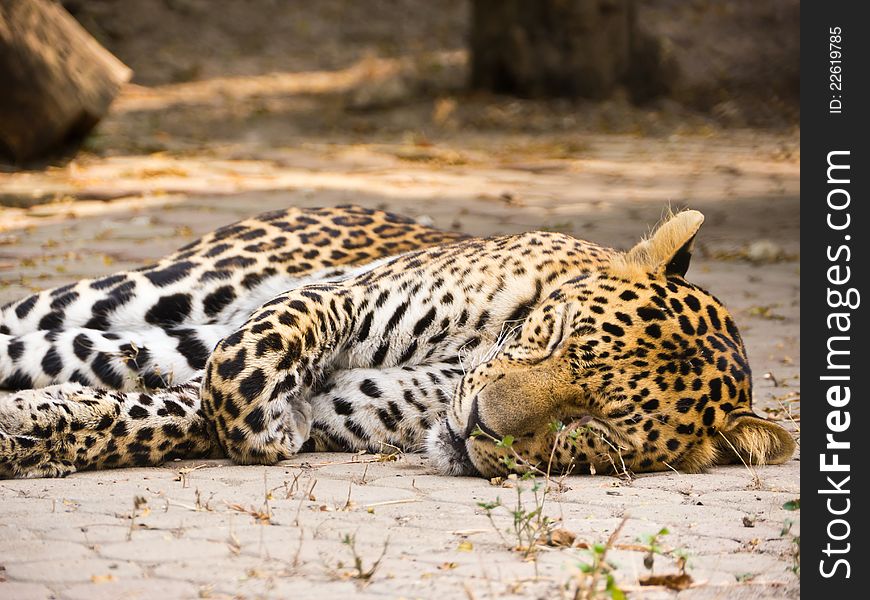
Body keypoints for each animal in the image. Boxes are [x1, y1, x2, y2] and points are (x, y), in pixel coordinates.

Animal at [0, 206, 796, 478]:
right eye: (553, 336)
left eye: (591, 431)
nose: (476, 426)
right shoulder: (347, 296)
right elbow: (248, 361)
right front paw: (261, 420)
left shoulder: (336, 415)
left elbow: (158, 417)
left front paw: (32, 435)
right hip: (171, 286)